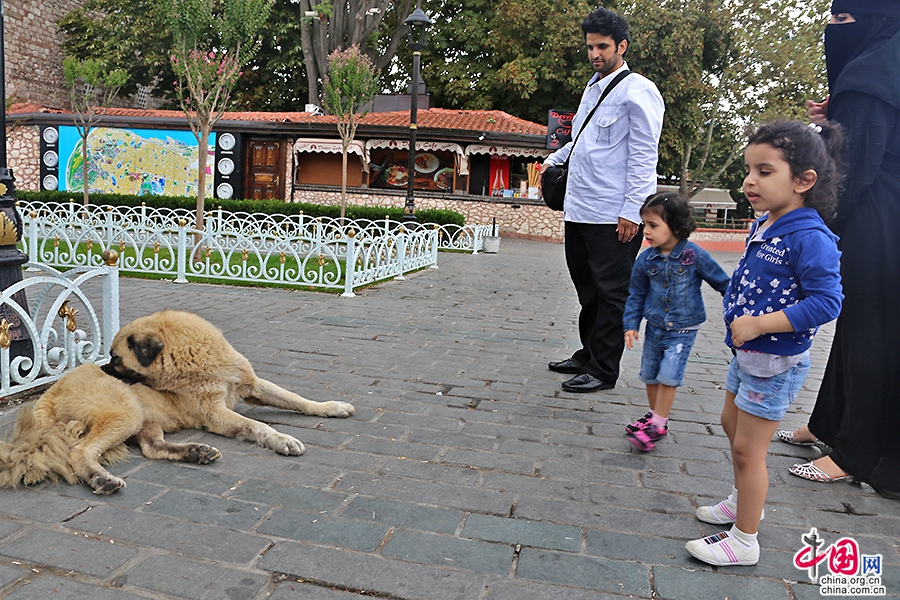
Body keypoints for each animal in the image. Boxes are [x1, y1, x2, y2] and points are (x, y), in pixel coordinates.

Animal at [0, 312, 356, 494]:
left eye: (116, 358)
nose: (101, 368)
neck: (194, 356)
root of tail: (50, 394)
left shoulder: (251, 385)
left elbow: (296, 399)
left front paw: (330, 407)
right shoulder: (215, 413)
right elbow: (256, 425)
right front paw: (282, 439)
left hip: (146, 420)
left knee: (151, 448)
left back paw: (195, 452)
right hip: (126, 413)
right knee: (80, 452)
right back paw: (100, 478)